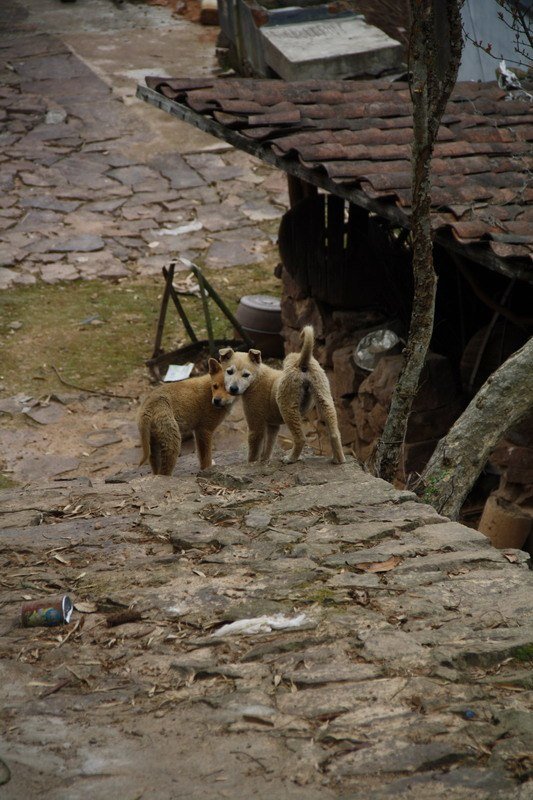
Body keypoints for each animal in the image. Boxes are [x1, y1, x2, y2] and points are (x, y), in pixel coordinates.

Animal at [218, 324, 342, 462]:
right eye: (229, 372)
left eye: (246, 375)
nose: (233, 389)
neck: (257, 377)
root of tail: (301, 362)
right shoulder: (273, 426)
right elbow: (268, 447)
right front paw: (264, 460)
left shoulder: (255, 424)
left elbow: (254, 452)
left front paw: (252, 462)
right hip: (324, 397)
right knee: (335, 434)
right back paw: (338, 460)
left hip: (287, 407)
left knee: (300, 438)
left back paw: (291, 458)